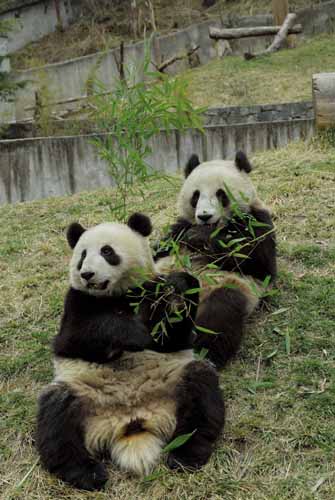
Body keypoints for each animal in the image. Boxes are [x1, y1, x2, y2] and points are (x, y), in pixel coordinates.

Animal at [36, 213, 226, 490]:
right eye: (82, 255)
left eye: (107, 251)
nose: (86, 274)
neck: (116, 293)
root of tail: (131, 423)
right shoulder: (76, 302)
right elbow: (77, 338)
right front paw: (133, 334)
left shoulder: (150, 289)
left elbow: (172, 336)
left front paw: (178, 290)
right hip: (82, 392)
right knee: (57, 418)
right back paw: (87, 473)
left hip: (174, 379)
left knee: (201, 395)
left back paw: (186, 455)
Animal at [156, 153, 276, 372]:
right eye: (195, 196)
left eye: (221, 194)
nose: (205, 216)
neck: (218, 227)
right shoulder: (178, 230)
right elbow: (159, 249)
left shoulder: (257, 220)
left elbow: (259, 263)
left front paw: (200, 237)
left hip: (230, 288)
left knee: (219, 315)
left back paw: (204, 355)